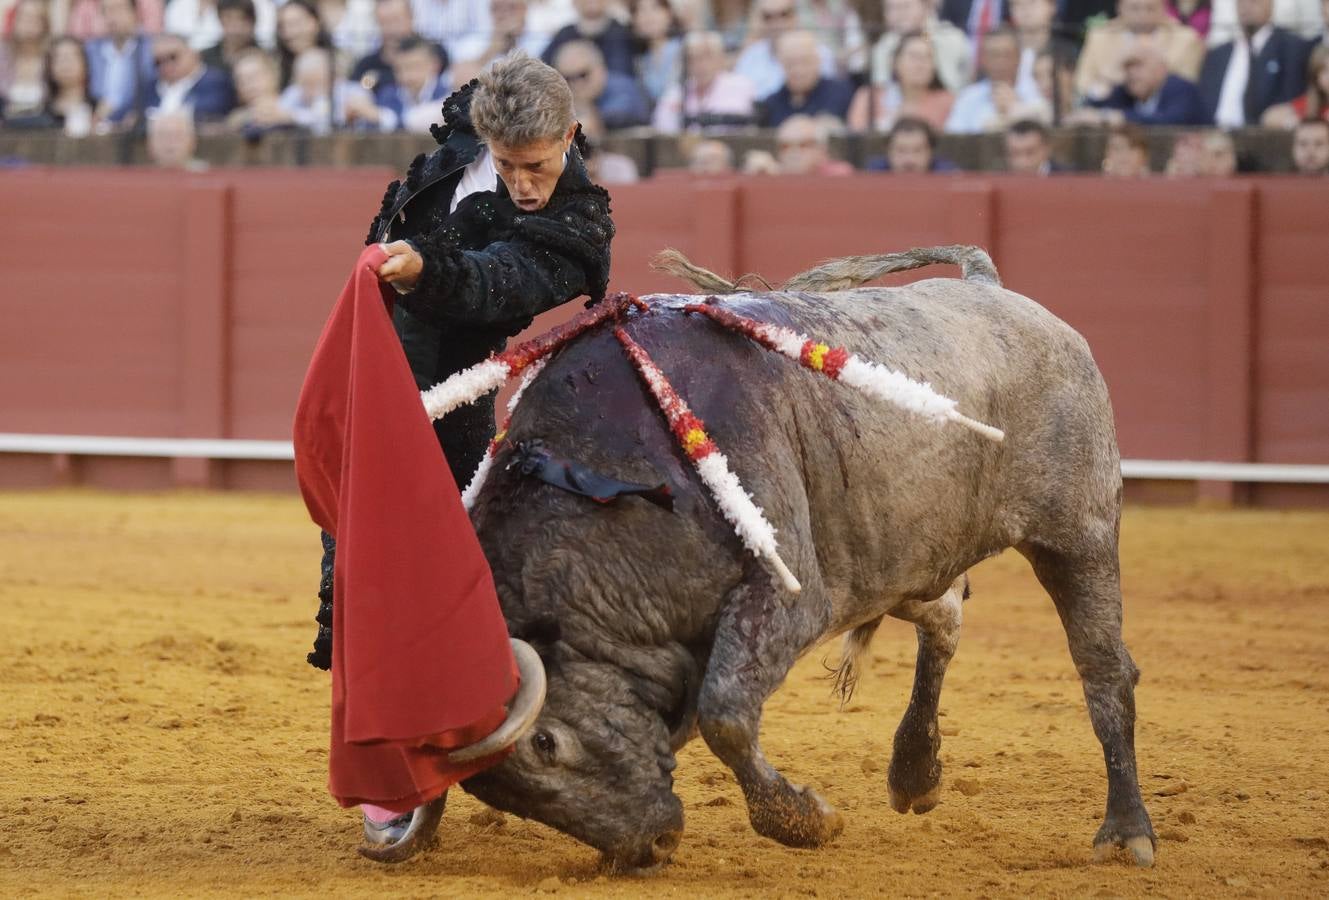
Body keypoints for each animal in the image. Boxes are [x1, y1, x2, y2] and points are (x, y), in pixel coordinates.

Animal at [419, 245, 1158, 872]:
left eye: (546, 744)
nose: (648, 844)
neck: (612, 479)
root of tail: (993, 290)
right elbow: (703, 715)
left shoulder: (789, 597)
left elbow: (723, 714)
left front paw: (807, 820)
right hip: (904, 556)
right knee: (944, 621)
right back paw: (915, 773)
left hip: (1078, 535)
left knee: (1104, 672)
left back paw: (1126, 834)